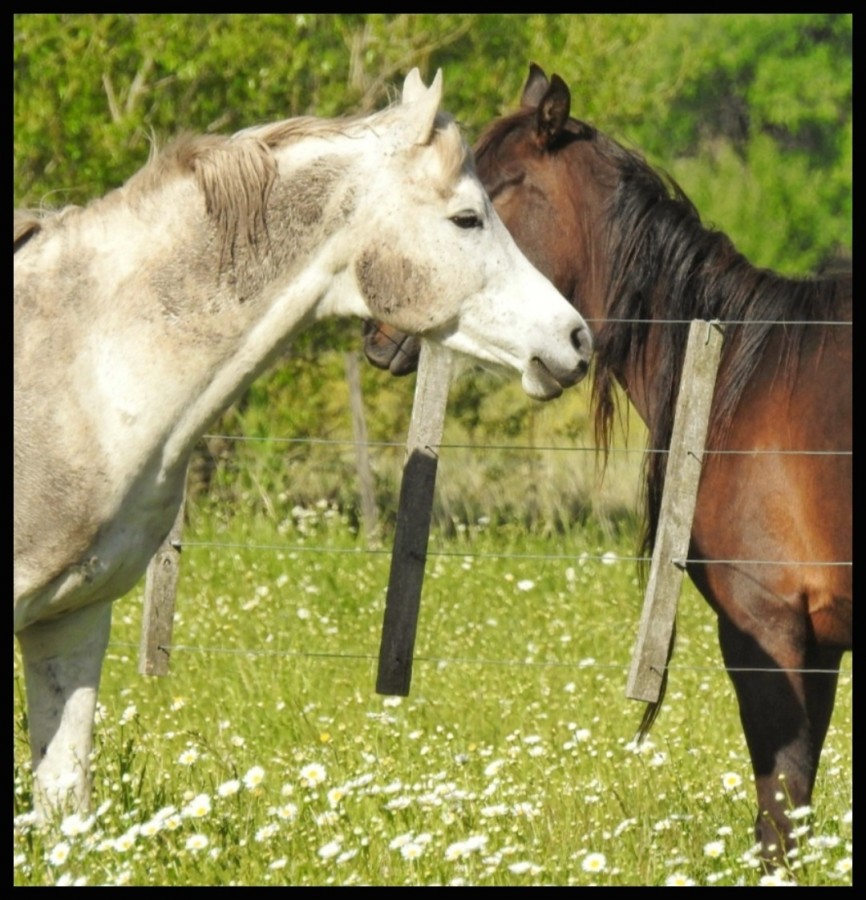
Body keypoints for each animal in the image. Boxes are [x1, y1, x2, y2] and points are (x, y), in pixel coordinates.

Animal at [362, 65, 848, 864]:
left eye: (478, 208)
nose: (381, 331)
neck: (739, 375)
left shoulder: (772, 633)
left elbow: (779, 812)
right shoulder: (818, 644)